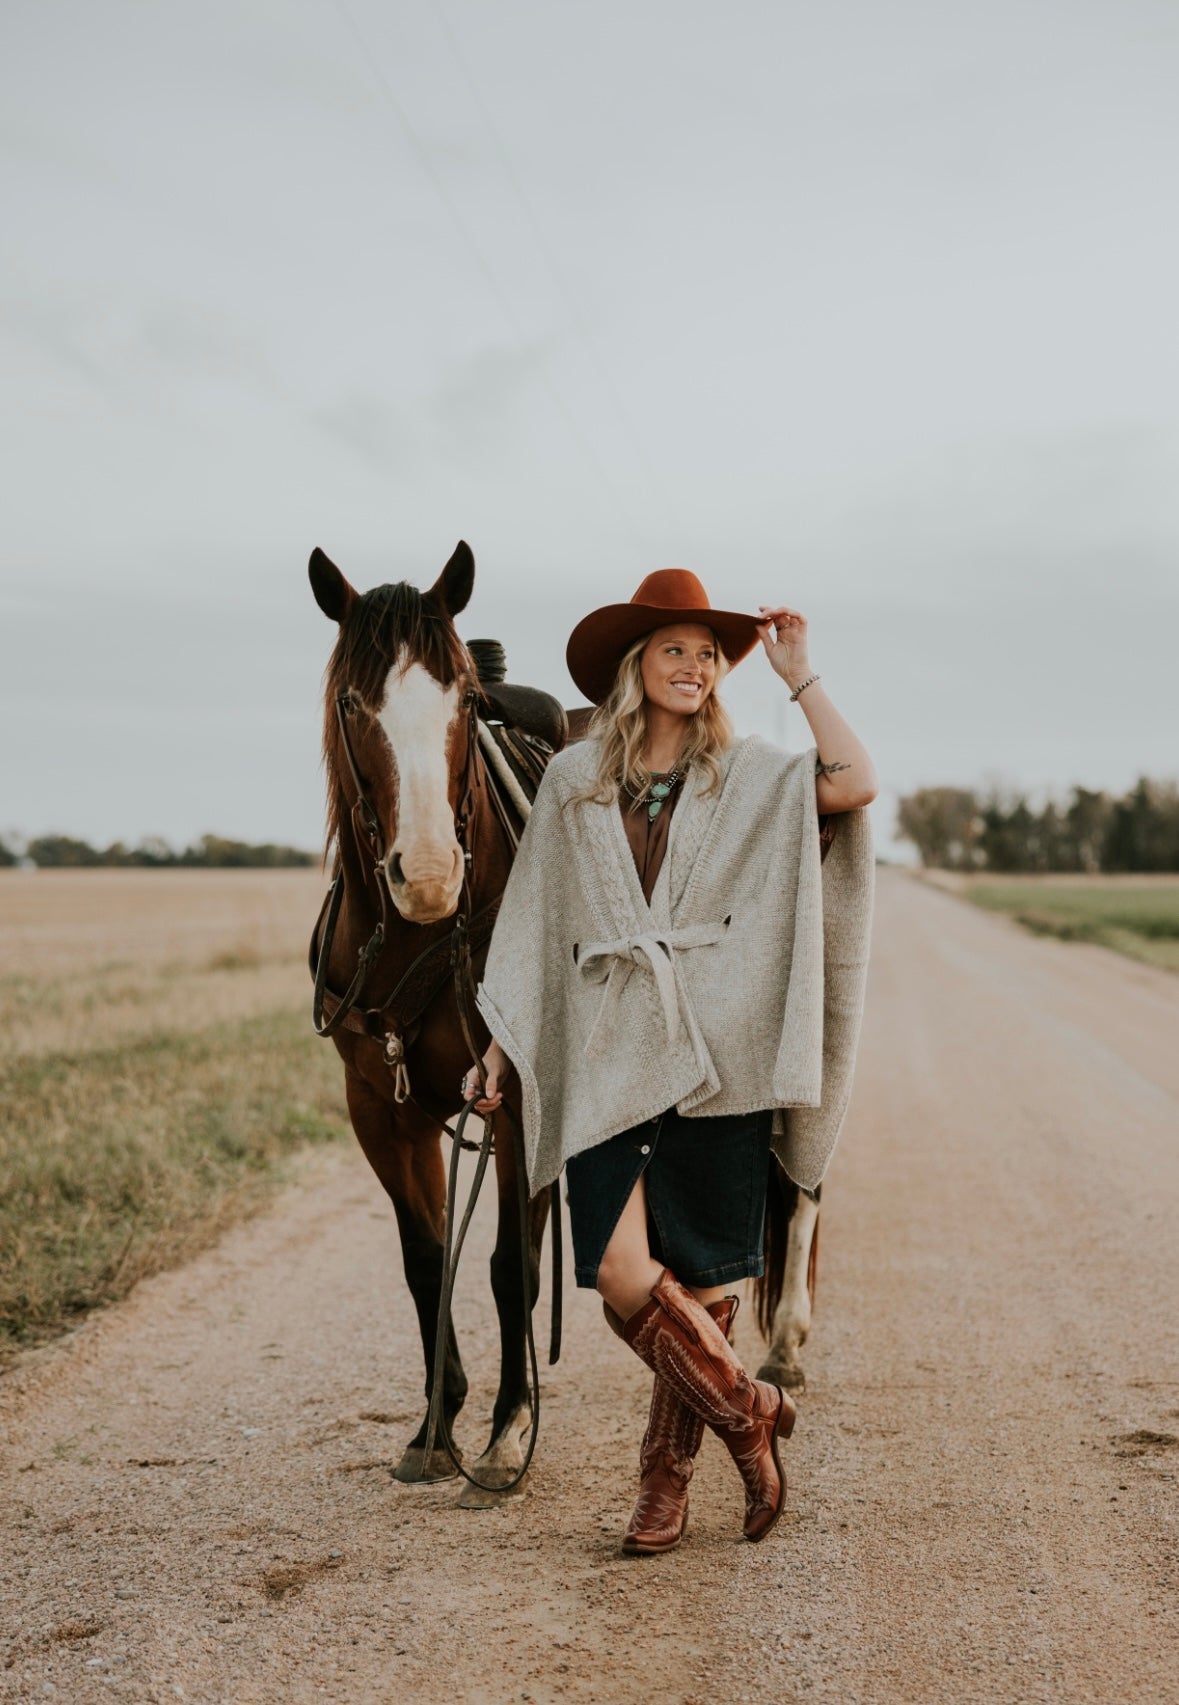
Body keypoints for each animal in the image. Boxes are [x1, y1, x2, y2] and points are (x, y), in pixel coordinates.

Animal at [308, 535, 559, 1507]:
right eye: (352, 699)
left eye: (462, 697)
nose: (425, 874)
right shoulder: (381, 1107)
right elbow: (425, 1262)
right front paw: (433, 1423)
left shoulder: (520, 1097)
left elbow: (507, 1264)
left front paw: (505, 1428)